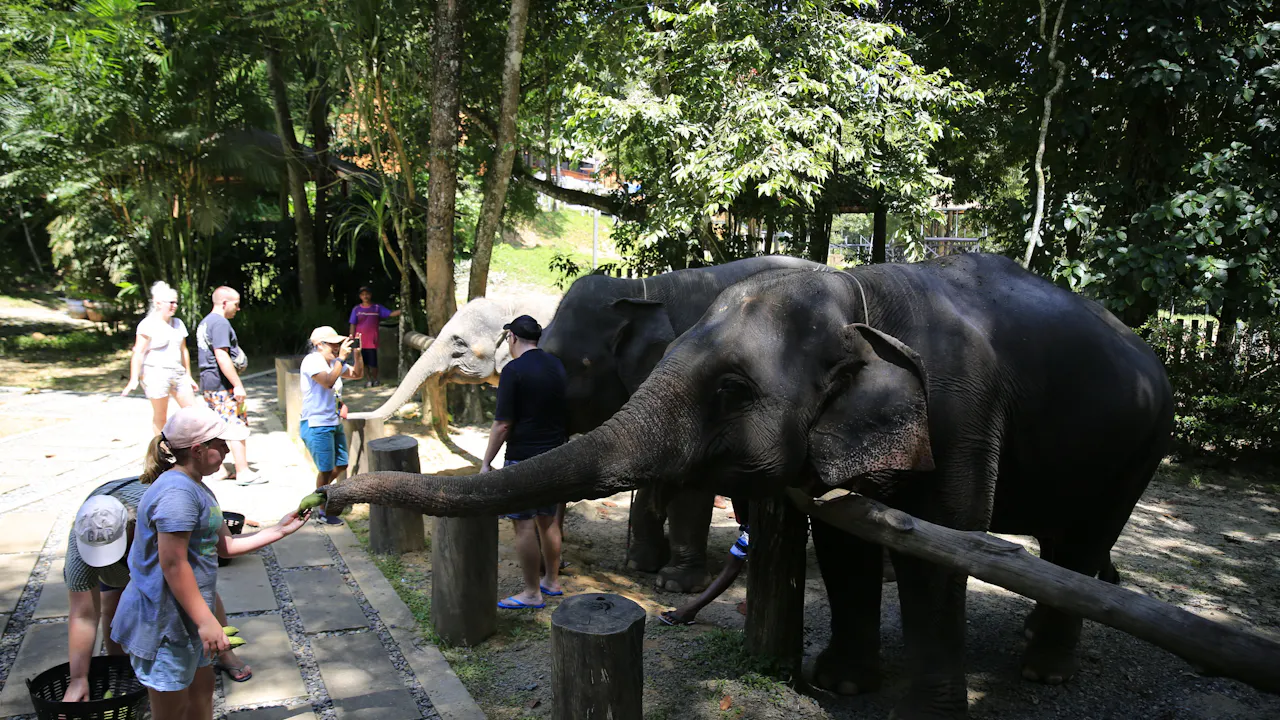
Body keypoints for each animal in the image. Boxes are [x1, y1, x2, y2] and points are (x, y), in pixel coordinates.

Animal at [324, 253, 1173, 719]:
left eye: (733, 390)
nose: (326, 500)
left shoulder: (963, 412)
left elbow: (939, 550)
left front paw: (669, 578)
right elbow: (843, 534)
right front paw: (839, 684)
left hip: (1141, 445)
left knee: (1079, 540)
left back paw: (1043, 667)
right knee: (1070, 541)